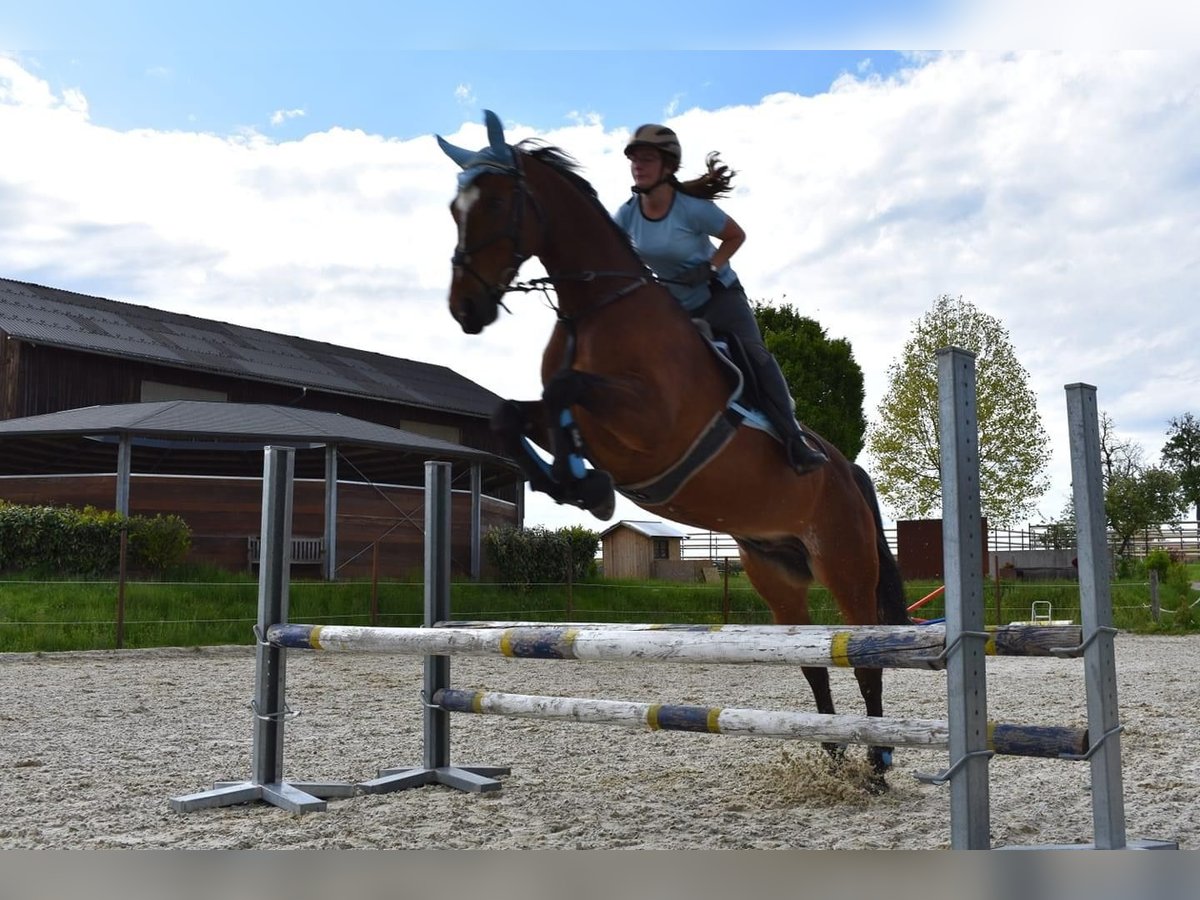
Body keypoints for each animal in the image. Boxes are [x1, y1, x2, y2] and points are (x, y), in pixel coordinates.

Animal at [439, 111, 907, 787]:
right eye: (455, 208)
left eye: (498, 204)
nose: (465, 309)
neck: (597, 307)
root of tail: (848, 470)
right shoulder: (574, 419)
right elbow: (516, 414)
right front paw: (578, 484)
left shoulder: (653, 426)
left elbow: (565, 389)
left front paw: (588, 486)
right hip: (775, 573)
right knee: (812, 659)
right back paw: (832, 747)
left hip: (845, 563)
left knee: (865, 656)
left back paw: (876, 761)